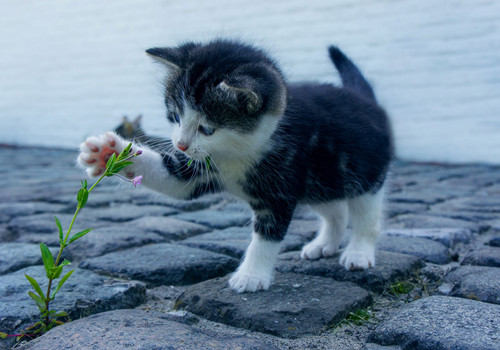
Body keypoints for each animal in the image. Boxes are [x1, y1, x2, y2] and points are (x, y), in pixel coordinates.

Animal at [78, 39, 392, 292]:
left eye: (207, 128)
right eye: (175, 116)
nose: (180, 144)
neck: (238, 152)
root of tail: (365, 99)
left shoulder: (280, 187)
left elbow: (267, 235)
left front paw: (251, 276)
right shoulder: (199, 169)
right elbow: (173, 180)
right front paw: (109, 153)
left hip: (364, 174)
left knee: (366, 216)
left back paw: (358, 252)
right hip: (320, 181)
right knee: (335, 210)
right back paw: (324, 244)